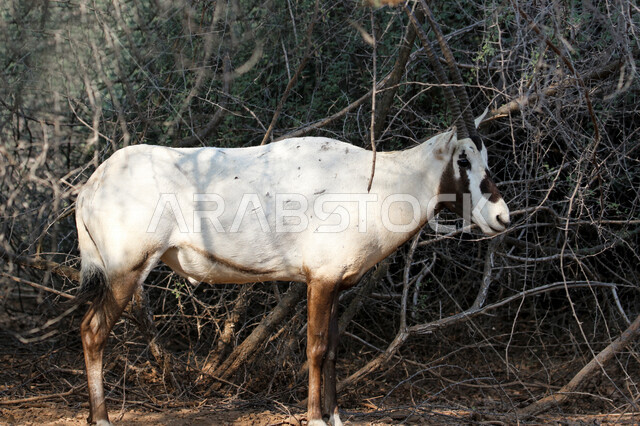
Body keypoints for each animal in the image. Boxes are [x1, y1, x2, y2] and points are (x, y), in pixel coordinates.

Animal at [74, 5, 510, 426]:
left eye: (486, 156)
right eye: (464, 159)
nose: (502, 218)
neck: (378, 181)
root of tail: (90, 188)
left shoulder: (338, 284)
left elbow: (333, 349)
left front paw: (336, 417)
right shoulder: (320, 279)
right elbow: (315, 348)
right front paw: (316, 418)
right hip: (127, 269)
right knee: (93, 332)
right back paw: (102, 419)